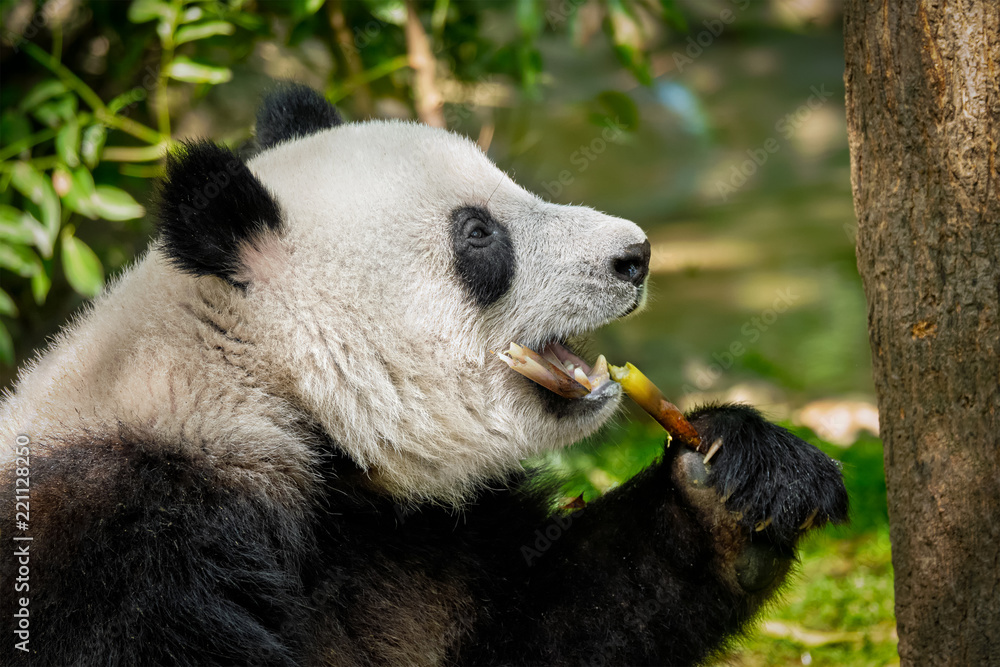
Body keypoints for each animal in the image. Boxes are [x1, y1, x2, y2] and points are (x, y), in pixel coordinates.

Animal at [0, 84, 847, 667]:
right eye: (479, 234)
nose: (633, 255)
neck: (262, 379)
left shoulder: (408, 535)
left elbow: (543, 626)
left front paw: (737, 480)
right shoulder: (118, 553)